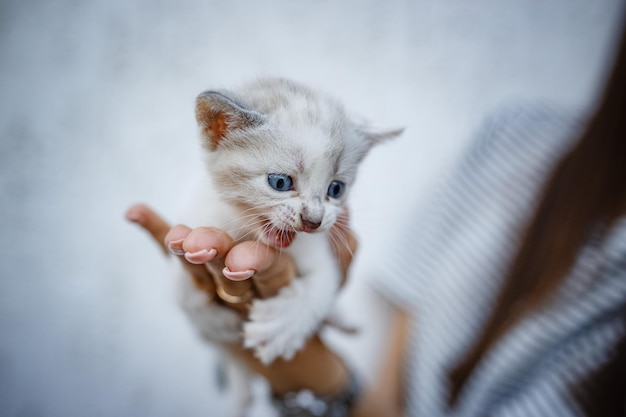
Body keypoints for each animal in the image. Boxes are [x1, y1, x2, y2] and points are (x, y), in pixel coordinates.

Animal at [176, 78, 400, 412]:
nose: (313, 220)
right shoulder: (193, 224)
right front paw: (212, 320)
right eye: (280, 183)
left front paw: (282, 326)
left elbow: (321, 289)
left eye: (336, 189)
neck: (248, 233)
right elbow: (183, 292)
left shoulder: (319, 254)